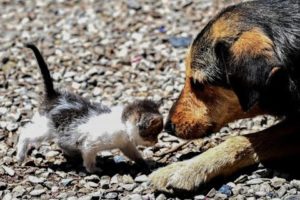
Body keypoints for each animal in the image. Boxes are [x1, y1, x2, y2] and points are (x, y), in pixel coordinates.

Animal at [15, 44, 164, 173]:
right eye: (153, 134)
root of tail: (54, 95)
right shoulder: (89, 144)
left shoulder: (125, 144)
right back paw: (20, 156)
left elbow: (135, 155)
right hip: (46, 128)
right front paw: (93, 170)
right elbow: (89, 159)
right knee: (26, 132)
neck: (122, 124)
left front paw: (145, 165)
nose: (156, 142)